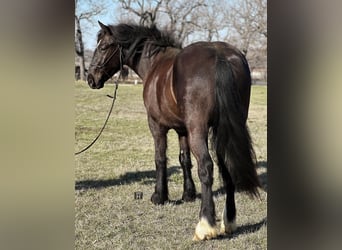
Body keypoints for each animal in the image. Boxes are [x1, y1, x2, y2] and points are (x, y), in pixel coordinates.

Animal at [86, 22, 260, 241]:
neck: (155, 63)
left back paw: (205, 225)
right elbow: (184, 159)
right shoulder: (182, 129)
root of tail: (218, 55)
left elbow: (160, 158)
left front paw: (159, 196)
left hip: (198, 129)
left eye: (102, 47)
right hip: (225, 129)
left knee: (206, 167)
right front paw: (188, 194)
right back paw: (228, 220)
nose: (90, 79)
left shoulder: (157, 126)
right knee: (225, 166)